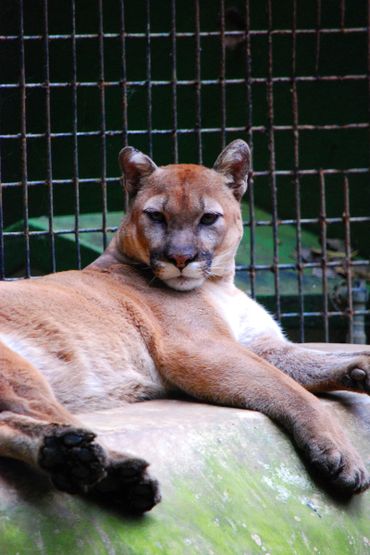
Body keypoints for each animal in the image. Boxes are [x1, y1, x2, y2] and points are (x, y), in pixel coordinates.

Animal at [0, 141, 368, 516]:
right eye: (156, 216)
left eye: (207, 218)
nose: (180, 258)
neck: (221, 283)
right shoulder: (202, 348)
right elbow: (293, 391)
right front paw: (341, 456)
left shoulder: (264, 345)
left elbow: (319, 362)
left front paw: (361, 370)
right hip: (19, 369)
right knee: (38, 412)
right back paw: (98, 464)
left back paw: (87, 466)